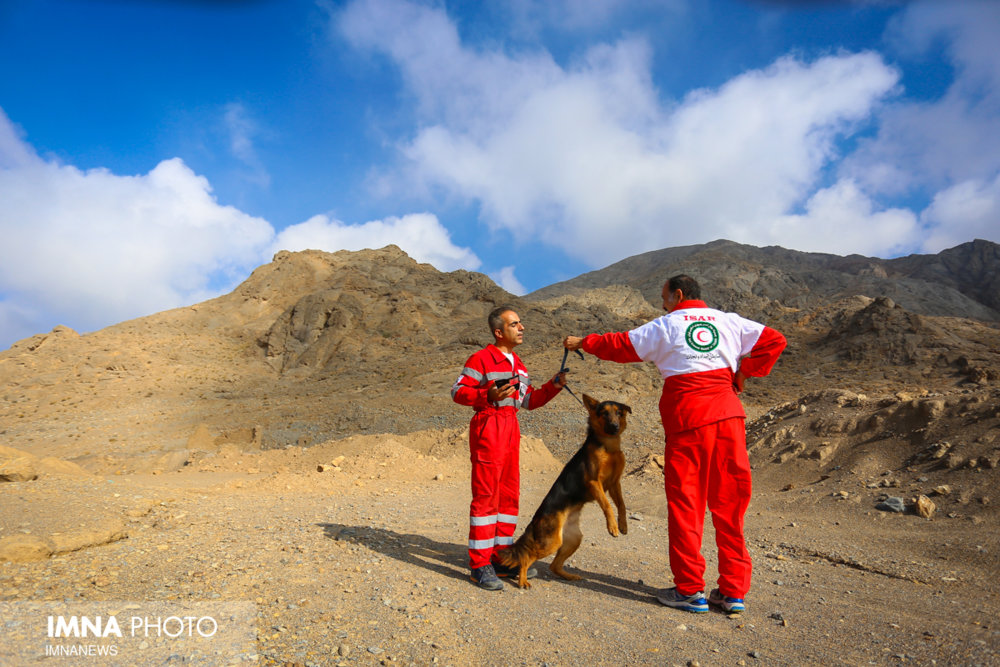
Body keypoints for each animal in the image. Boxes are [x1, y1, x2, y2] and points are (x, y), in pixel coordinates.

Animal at [496, 394, 628, 588]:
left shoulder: (614, 484)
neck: (608, 446)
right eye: (604, 413)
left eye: (618, 413)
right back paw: (523, 580)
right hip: (551, 542)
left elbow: (622, 505)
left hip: (572, 540)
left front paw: (623, 525)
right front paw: (612, 527)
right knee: (527, 557)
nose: (614, 427)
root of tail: (535, 520)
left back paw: (569, 576)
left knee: (554, 566)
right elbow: (607, 505)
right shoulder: (594, 482)